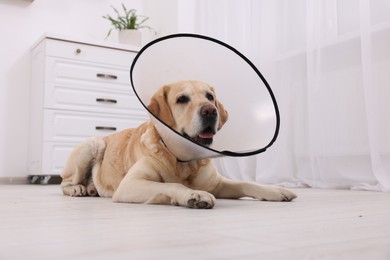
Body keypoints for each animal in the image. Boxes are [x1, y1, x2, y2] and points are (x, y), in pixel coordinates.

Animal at [60, 80, 296, 208]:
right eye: (182, 99)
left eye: (209, 96)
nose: (211, 110)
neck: (184, 160)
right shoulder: (130, 184)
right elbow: (173, 185)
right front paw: (194, 194)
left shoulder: (218, 183)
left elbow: (247, 183)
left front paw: (276, 190)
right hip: (93, 143)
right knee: (65, 182)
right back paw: (78, 188)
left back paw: (91, 188)